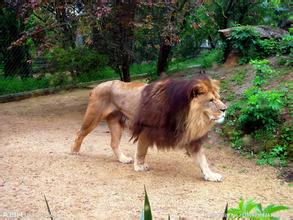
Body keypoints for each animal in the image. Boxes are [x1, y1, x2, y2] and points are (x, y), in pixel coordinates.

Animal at [71, 75, 226, 181]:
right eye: (211, 100)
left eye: (219, 98)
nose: (225, 109)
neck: (190, 116)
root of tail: (96, 87)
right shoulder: (146, 128)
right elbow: (141, 150)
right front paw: (139, 166)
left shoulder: (190, 137)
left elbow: (202, 160)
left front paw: (211, 175)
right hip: (93, 117)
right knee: (79, 133)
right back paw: (74, 151)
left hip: (116, 123)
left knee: (113, 143)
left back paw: (123, 159)